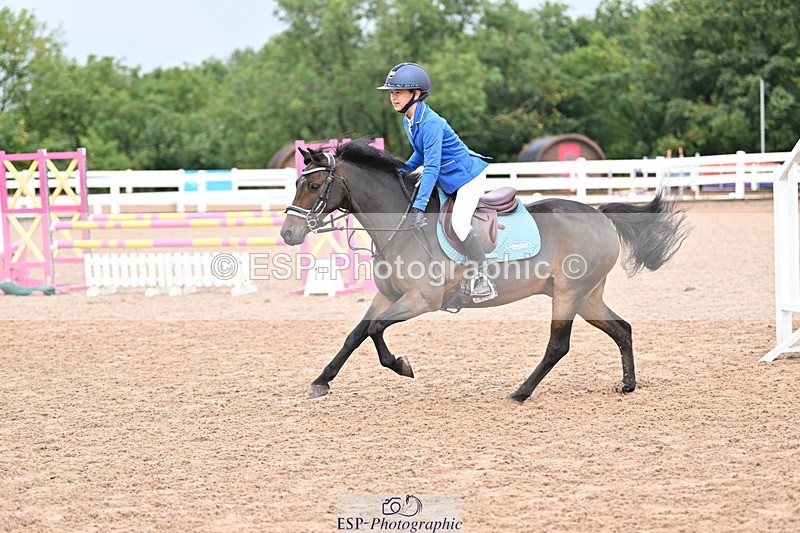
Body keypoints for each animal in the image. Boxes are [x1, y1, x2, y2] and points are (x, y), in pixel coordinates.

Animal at [280, 139, 688, 403]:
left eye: (313, 184)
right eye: (298, 182)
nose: (288, 233)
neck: (400, 226)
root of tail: (600, 214)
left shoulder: (422, 300)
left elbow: (376, 330)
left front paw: (401, 366)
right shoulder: (388, 295)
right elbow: (356, 335)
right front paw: (321, 382)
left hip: (569, 293)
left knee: (558, 345)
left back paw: (520, 393)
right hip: (587, 297)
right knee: (622, 329)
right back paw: (628, 384)